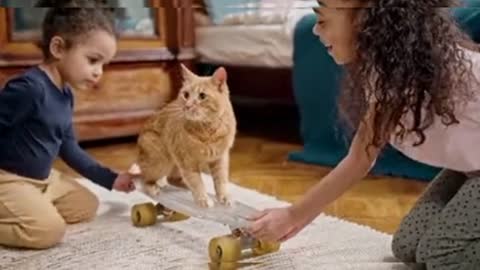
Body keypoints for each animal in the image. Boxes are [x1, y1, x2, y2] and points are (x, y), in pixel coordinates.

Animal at [136, 63, 237, 207]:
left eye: (202, 96)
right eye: (186, 94)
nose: (188, 105)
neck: (207, 129)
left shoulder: (220, 158)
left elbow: (221, 180)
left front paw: (223, 197)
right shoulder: (186, 161)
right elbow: (196, 181)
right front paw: (203, 199)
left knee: (171, 178)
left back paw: (185, 187)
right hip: (161, 160)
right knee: (144, 179)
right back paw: (153, 188)